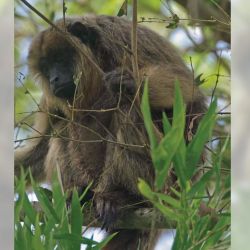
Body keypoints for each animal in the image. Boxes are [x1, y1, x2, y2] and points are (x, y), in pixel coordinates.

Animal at [15, 15, 205, 250]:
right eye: (46, 68)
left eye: (60, 59)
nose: (54, 80)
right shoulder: (51, 101)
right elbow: (38, 152)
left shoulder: (122, 42)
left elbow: (185, 87)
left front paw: (131, 84)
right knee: (61, 128)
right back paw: (79, 195)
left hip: (164, 182)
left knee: (126, 109)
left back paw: (122, 197)